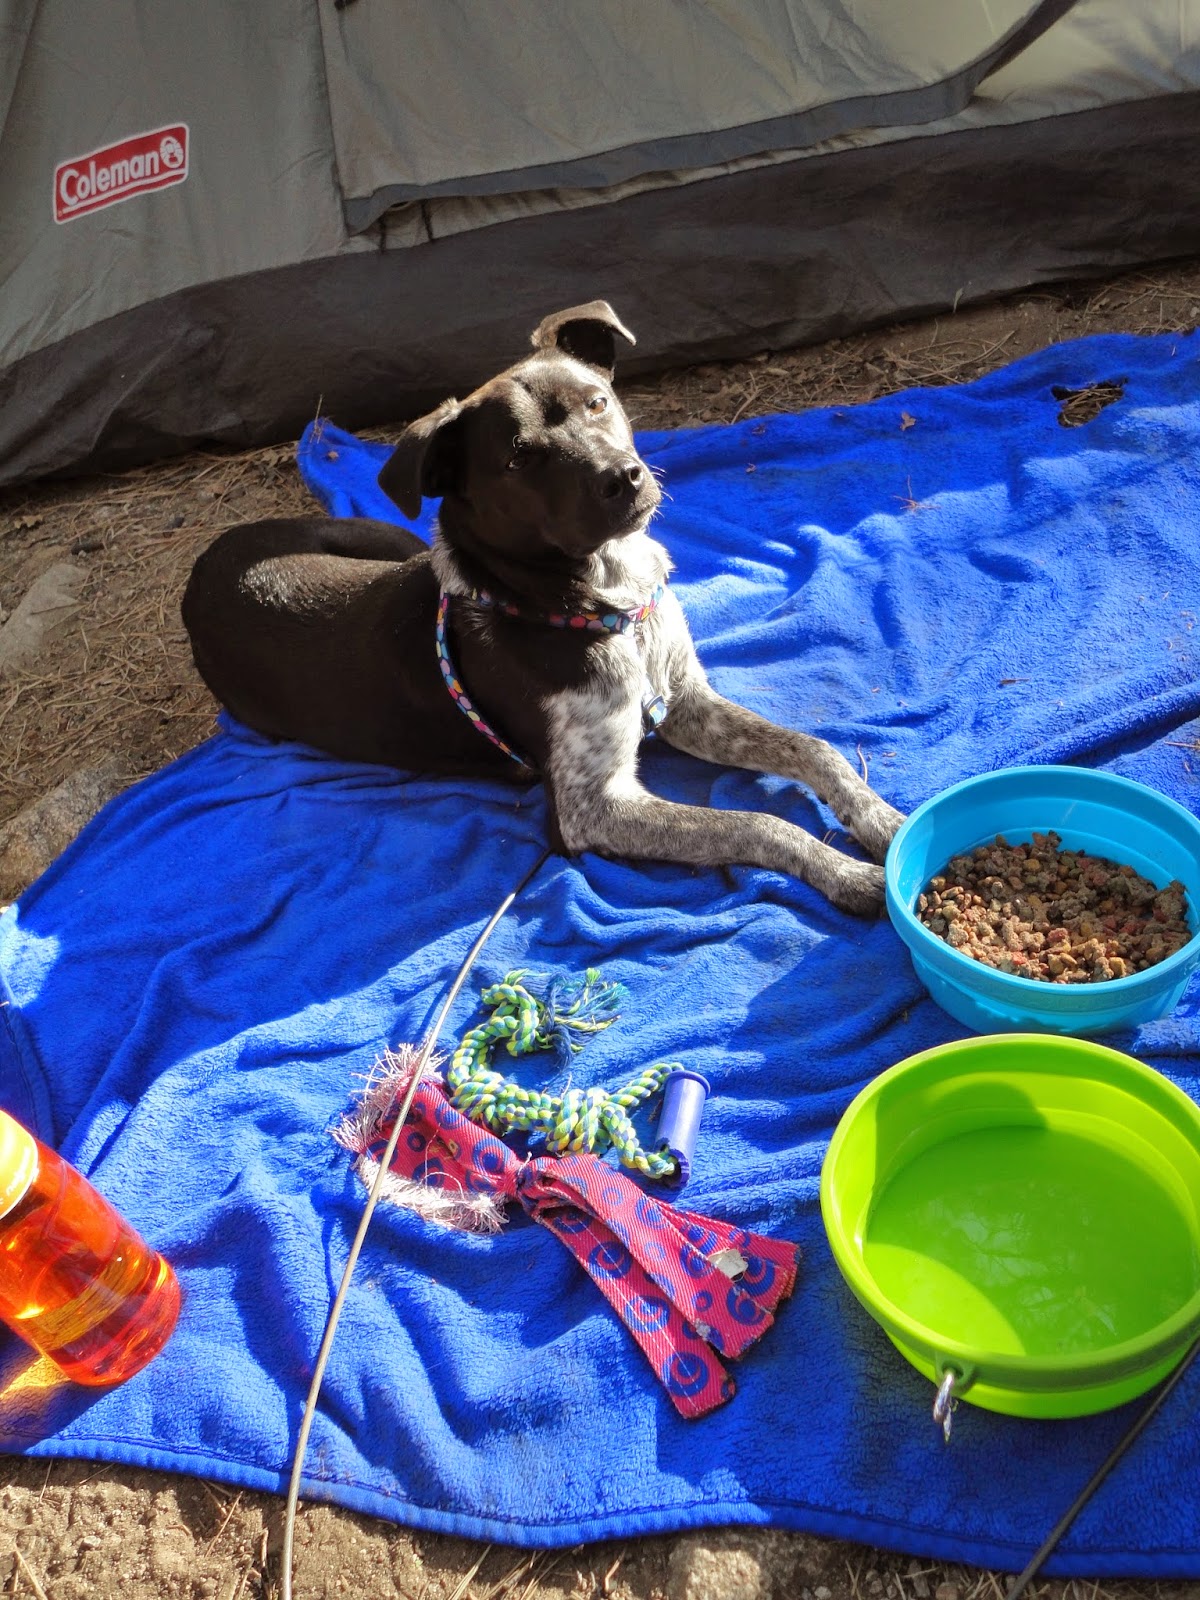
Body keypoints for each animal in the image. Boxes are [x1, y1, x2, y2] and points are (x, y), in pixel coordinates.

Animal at [182, 301, 903, 915]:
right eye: (518, 458)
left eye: (598, 402)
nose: (625, 478)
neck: (604, 604)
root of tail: (204, 566)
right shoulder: (594, 809)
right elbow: (756, 824)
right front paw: (848, 874)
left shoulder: (685, 703)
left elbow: (815, 748)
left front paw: (884, 821)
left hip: (395, 540)